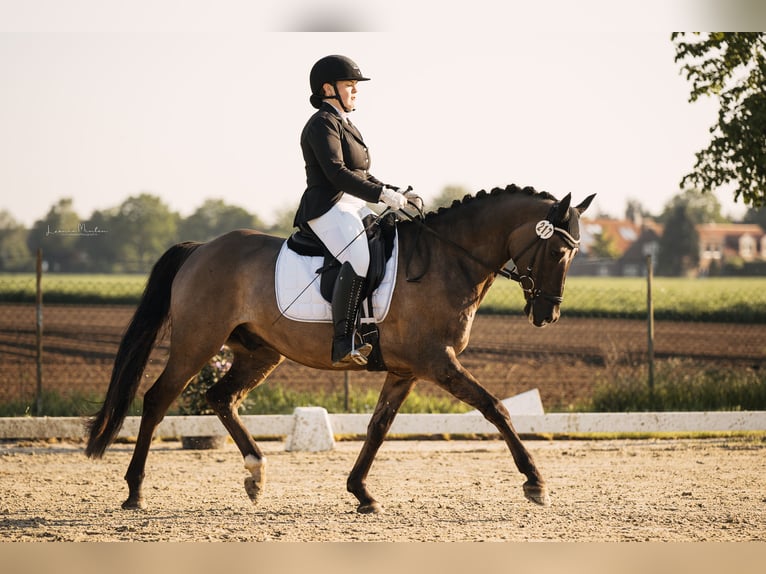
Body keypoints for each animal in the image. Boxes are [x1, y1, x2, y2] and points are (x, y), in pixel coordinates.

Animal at [87, 183, 596, 512]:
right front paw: (536, 482)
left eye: (574, 253)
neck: (449, 259)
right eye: (557, 252)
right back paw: (134, 491)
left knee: (220, 397)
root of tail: (201, 249)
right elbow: (496, 409)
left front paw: (361, 492)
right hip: (197, 343)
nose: (547, 315)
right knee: (157, 399)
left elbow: (378, 427)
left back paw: (256, 473)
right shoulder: (438, 362)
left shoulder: (406, 370)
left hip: (259, 351)